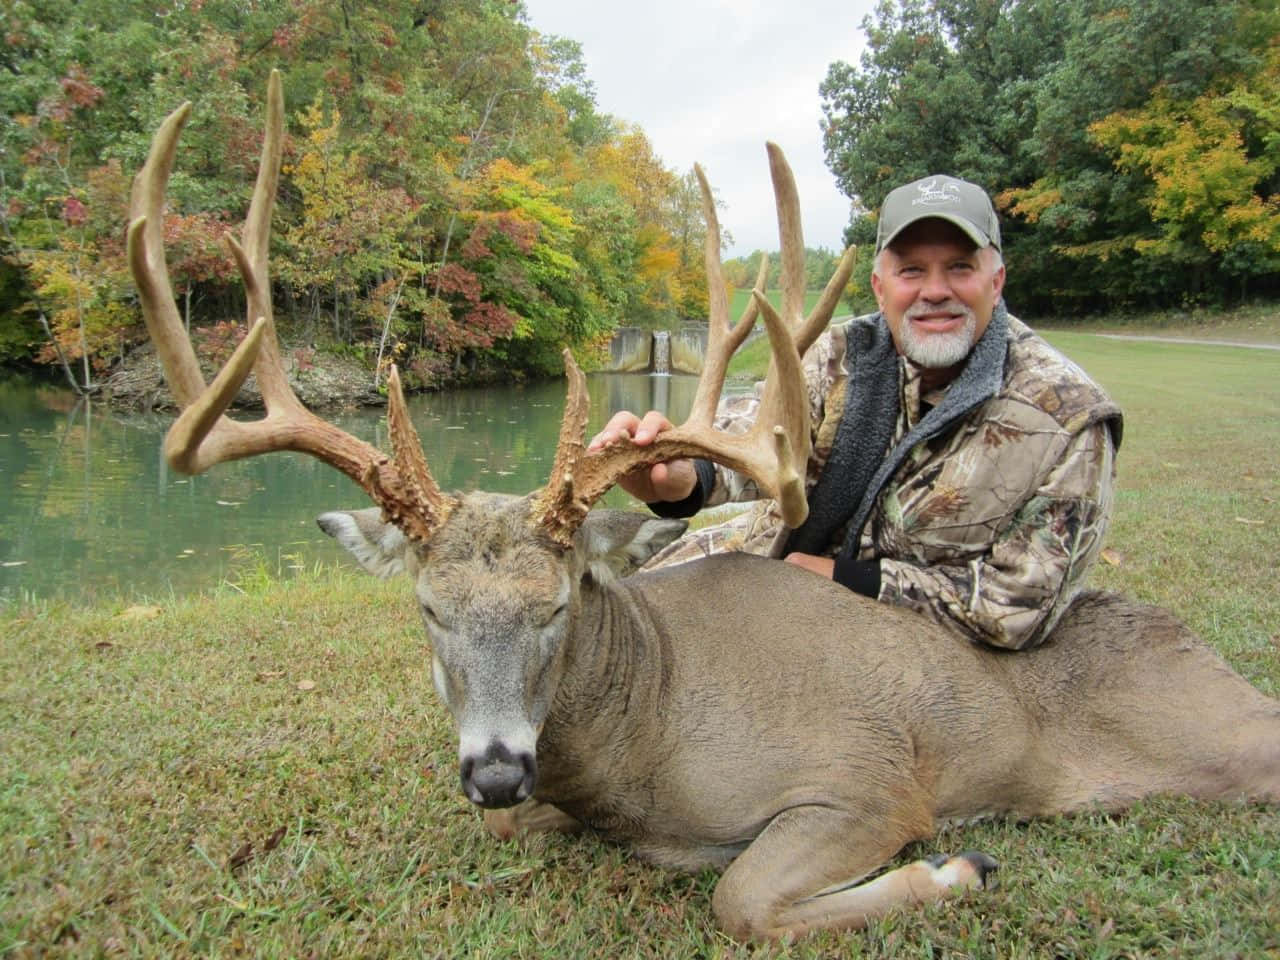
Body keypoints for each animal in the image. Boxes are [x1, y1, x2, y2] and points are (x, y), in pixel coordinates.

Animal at [127, 73, 1280, 942]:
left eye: (558, 602)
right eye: (427, 611)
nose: (496, 771)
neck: (647, 733)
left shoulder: (869, 780)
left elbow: (743, 899)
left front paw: (960, 869)